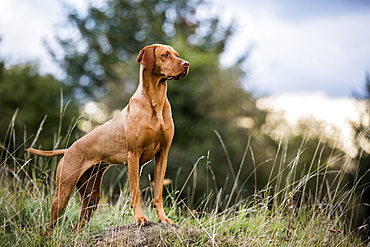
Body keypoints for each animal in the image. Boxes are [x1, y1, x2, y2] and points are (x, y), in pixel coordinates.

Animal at [26, 44, 189, 235]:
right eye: (165, 55)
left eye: (177, 55)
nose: (186, 64)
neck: (155, 100)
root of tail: (68, 149)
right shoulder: (133, 155)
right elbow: (135, 192)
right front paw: (140, 218)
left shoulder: (162, 154)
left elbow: (158, 193)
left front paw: (163, 219)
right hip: (63, 192)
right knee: (49, 227)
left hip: (91, 197)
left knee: (76, 227)